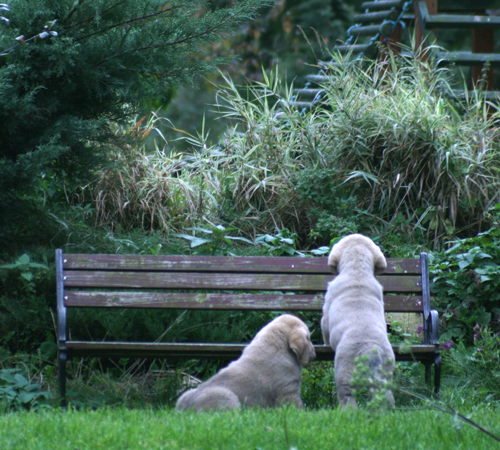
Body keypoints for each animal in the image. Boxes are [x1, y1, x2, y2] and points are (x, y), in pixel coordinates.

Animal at [176, 312, 316, 412]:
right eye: (309, 338)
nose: (315, 353)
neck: (277, 346)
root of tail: (187, 411)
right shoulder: (288, 392)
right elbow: (297, 409)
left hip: (186, 393)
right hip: (227, 397)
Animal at [322, 234, 396, 410]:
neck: (357, 270)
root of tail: (370, 350)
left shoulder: (326, 311)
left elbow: (325, 330)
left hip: (344, 370)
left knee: (347, 396)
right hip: (386, 370)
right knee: (384, 395)